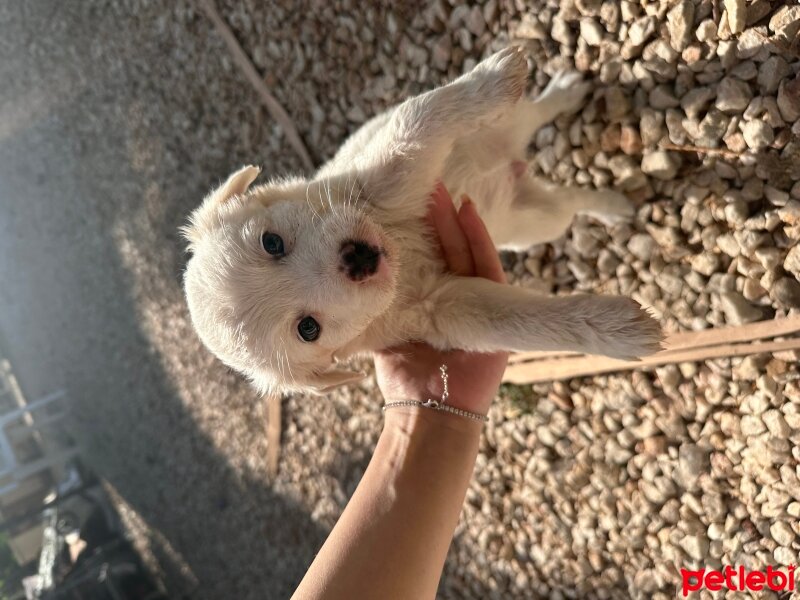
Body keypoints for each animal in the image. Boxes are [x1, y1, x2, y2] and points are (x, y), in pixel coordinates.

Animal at [183, 47, 664, 394]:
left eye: (272, 242)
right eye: (307, 329)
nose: (357, 259)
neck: (402, 250)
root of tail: (514, 164)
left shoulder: (380, 179)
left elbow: (416, 118)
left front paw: (490, 79)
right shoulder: (445, 311)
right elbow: (523, 323)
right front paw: (619, 331)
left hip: (501, 132)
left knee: (533, 113)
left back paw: (564, 89)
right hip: (537, 222)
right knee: (570, 200)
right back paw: (614, 205)